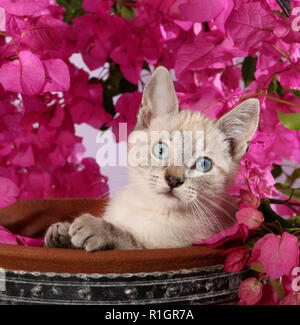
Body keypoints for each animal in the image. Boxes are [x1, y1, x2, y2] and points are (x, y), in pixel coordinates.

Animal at [44, 66, 260, 251]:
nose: (173, 180)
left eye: (203, 164)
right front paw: (62, 232)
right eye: (161, 150)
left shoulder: (163, 248)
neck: (148, 206)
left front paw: (95, 228)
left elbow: (127, 238)